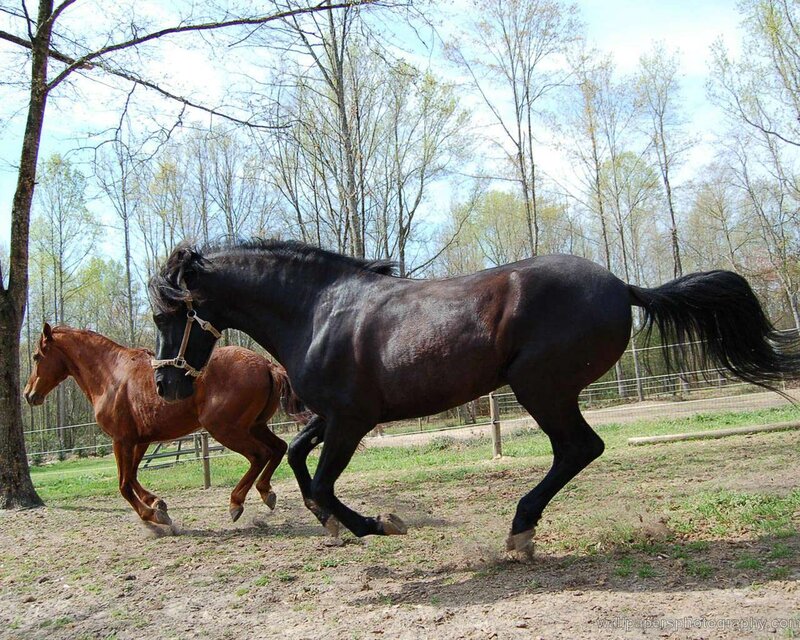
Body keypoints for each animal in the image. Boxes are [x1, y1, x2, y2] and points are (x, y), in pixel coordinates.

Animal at [24, 323, 301, 527]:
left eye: (36, 356)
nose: (29, 394)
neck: (111, 376)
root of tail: (266, 364)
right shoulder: (140, 440)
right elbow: (132, 475)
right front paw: (157, 502)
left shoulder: (120, 440)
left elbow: (123, 484)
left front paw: (153, 515)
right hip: (255, 425)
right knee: (278, 448)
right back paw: (266, 493)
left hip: (225, 429)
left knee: (259, 455)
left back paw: (236, 503)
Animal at [148, 239, 800, 557]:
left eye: (165, 314)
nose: (165, 385)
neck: (318, 311)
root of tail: (623, 286)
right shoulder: (337, 416)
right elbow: (298, 457)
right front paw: (329, 523)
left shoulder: (353, 419)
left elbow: (325, 480)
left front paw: (378, 525)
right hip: (544, 389)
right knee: (579, 450)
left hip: (541, 387)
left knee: (579, 448)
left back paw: (520, 532)